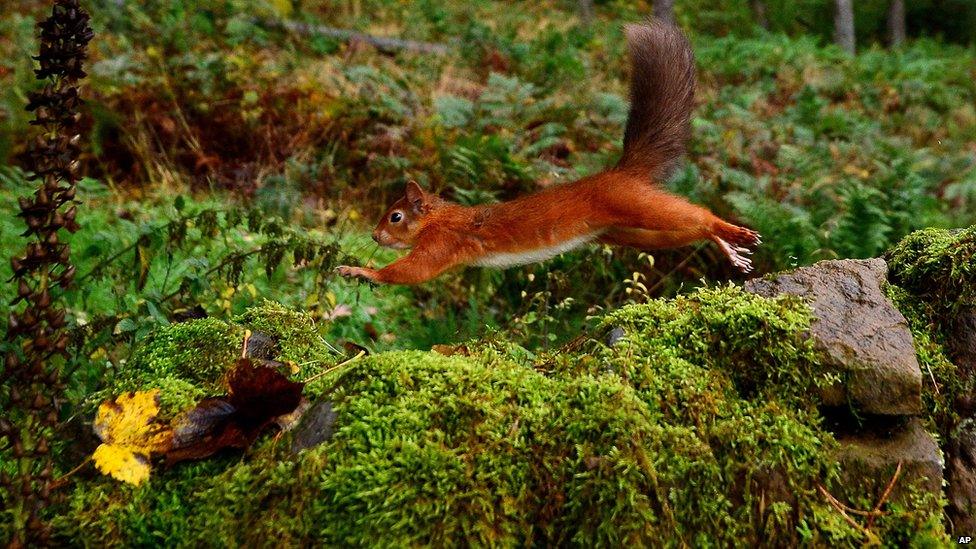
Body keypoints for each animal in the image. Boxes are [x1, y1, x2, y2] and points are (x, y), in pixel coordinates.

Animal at [337, 20, 760, 285]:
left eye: (395, 216)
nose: (373, 236)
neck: (440, 219)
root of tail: (620, 173)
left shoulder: (442, 243)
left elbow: (412, 272)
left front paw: (361, 272)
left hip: (635, 205)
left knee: (697, 215)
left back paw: (731, 230)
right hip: (630, 233)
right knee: (688, 230)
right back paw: (728, 248)